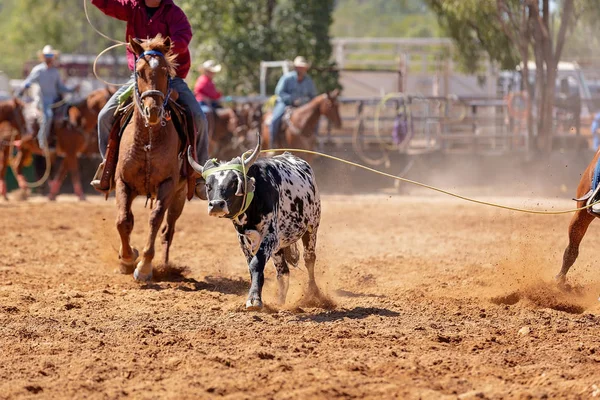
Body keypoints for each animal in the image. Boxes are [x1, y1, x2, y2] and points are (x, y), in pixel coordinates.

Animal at [112, 36, 188, 282]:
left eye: (165, 72)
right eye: (138, 72)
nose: (152, 111)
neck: (148, 140)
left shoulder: (168, 184)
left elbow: (155, 219)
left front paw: (144, 266)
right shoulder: (122, 182)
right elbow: (122, 220)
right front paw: (127, 258)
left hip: (180, 195)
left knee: (167, 230)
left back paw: (164, 265)